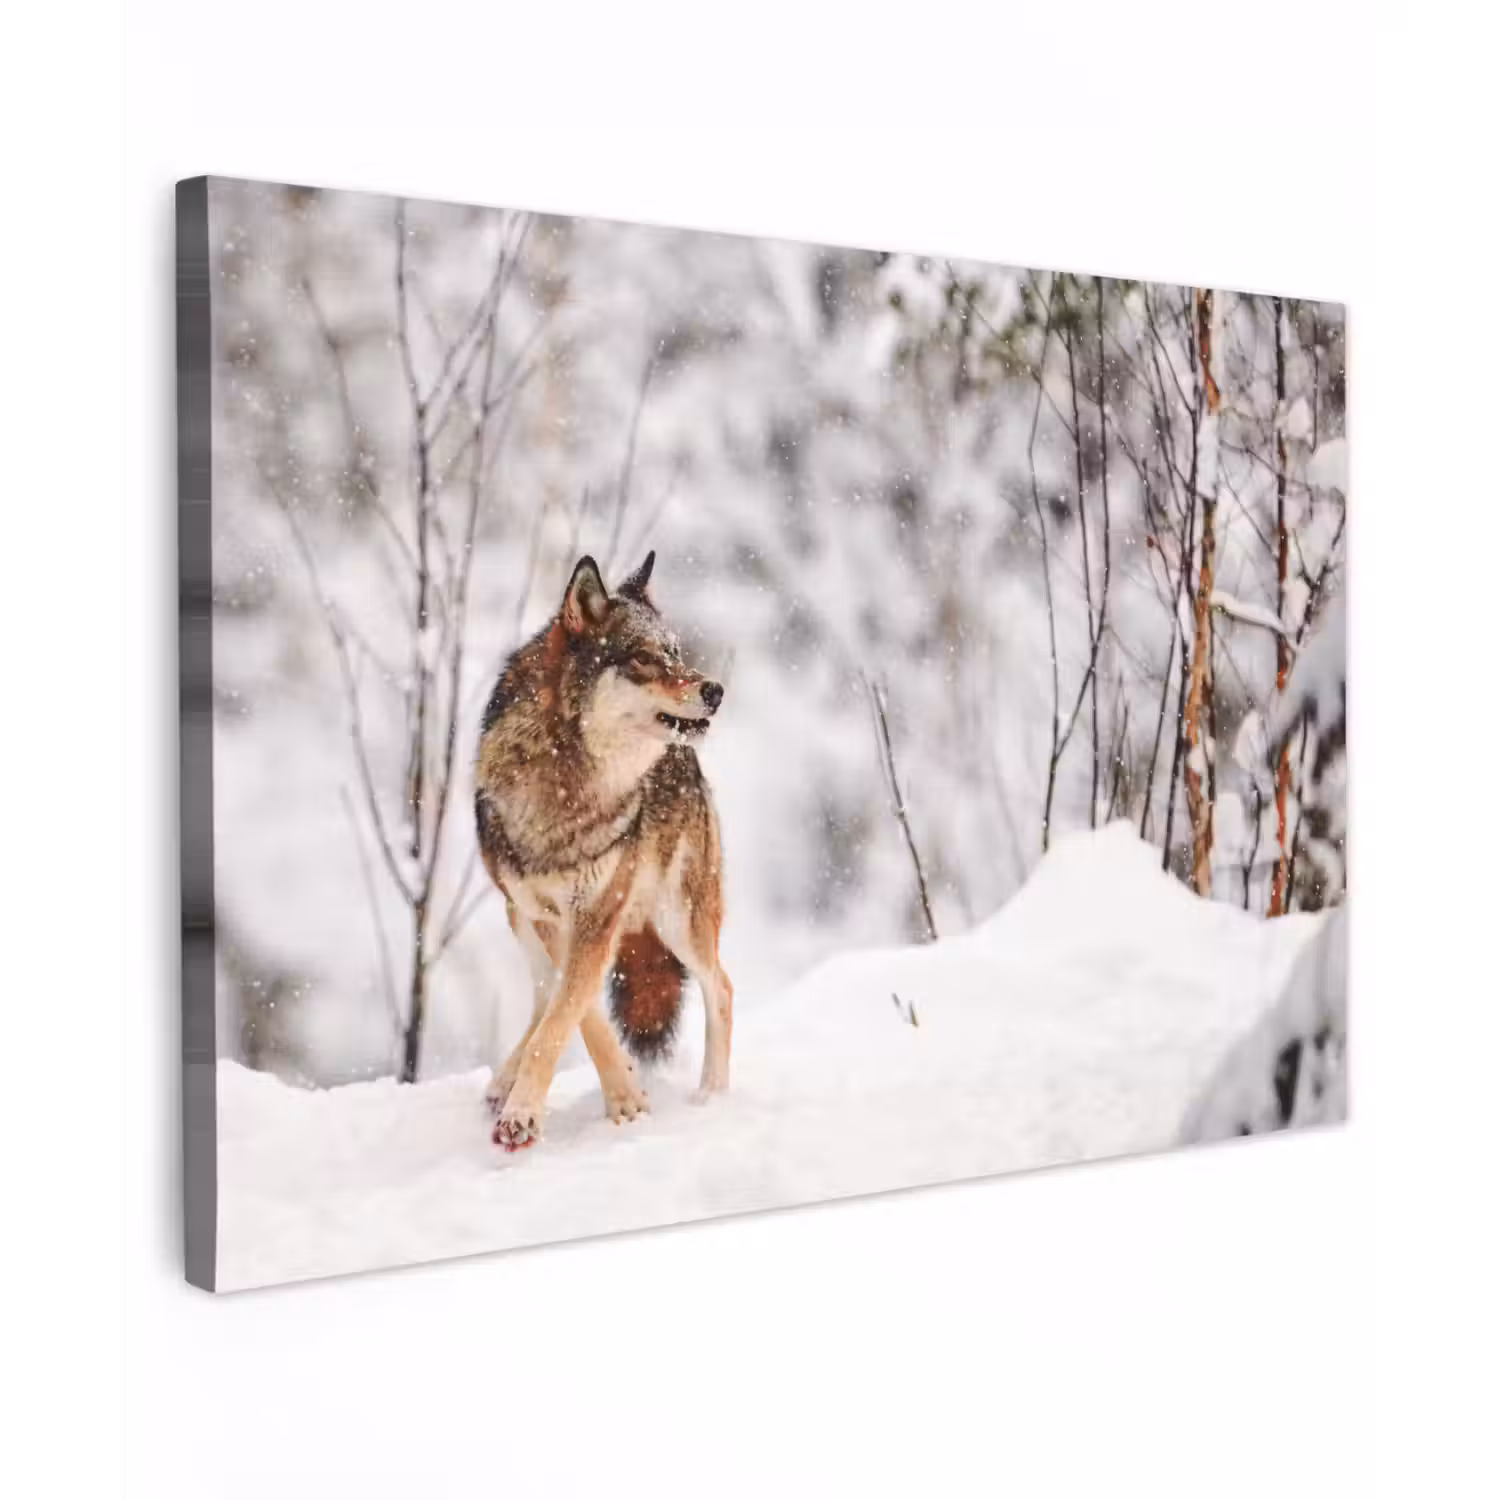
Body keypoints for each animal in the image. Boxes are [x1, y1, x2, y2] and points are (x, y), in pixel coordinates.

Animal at [473, 550, 732, 1151]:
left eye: (675, 652)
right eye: (642, 657)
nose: (714, 690)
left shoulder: (598, 913)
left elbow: (568, 1012)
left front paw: (527, 1115)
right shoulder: (550, 917)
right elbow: (576, 1012)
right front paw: (623, 1096)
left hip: (679, 920)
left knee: (722, 987)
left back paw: (711, 1098)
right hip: (519, 918)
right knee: (544, 994)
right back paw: (503, 1080)